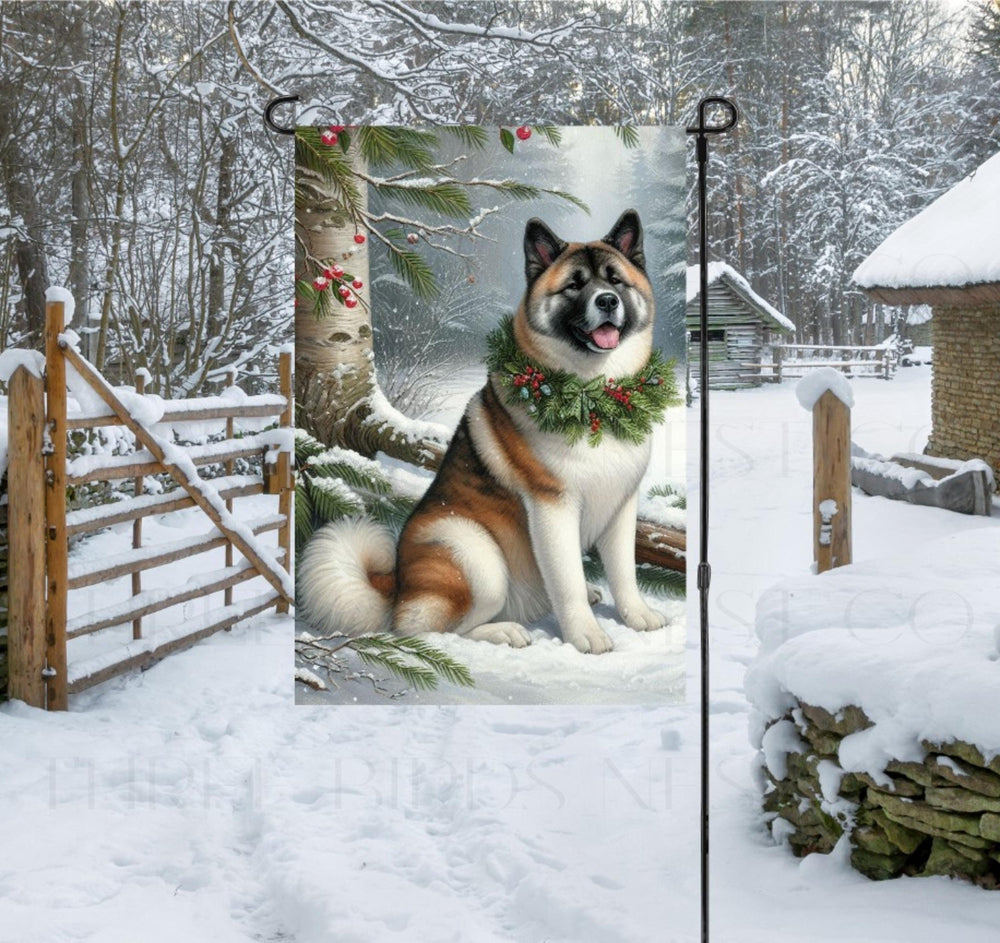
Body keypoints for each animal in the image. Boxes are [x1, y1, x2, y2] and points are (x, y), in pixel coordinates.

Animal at [296, 209, 672, 652]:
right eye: (575, 285)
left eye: (615, 281)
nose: (607, 300)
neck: (593, 399)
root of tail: (399, 583)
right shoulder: (553, 509)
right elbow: (567, 582)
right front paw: (586, 635)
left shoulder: (620, 506)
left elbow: (623, 572)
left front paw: (636, 615)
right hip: (475, 553)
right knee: (427, 627)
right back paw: (504, 631)